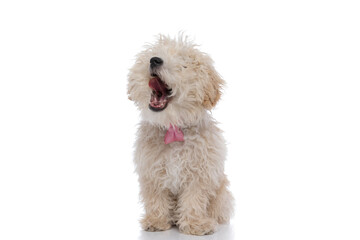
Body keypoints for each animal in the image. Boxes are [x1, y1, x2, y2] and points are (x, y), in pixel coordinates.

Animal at [127, 34, 233, 235]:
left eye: (183, 66)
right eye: (156, 53)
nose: (154, 60)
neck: (174, 127)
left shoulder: (199, 173)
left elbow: (194, 199)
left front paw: (195, 224)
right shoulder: (152, 170)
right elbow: (156, 197)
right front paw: (156, 220)